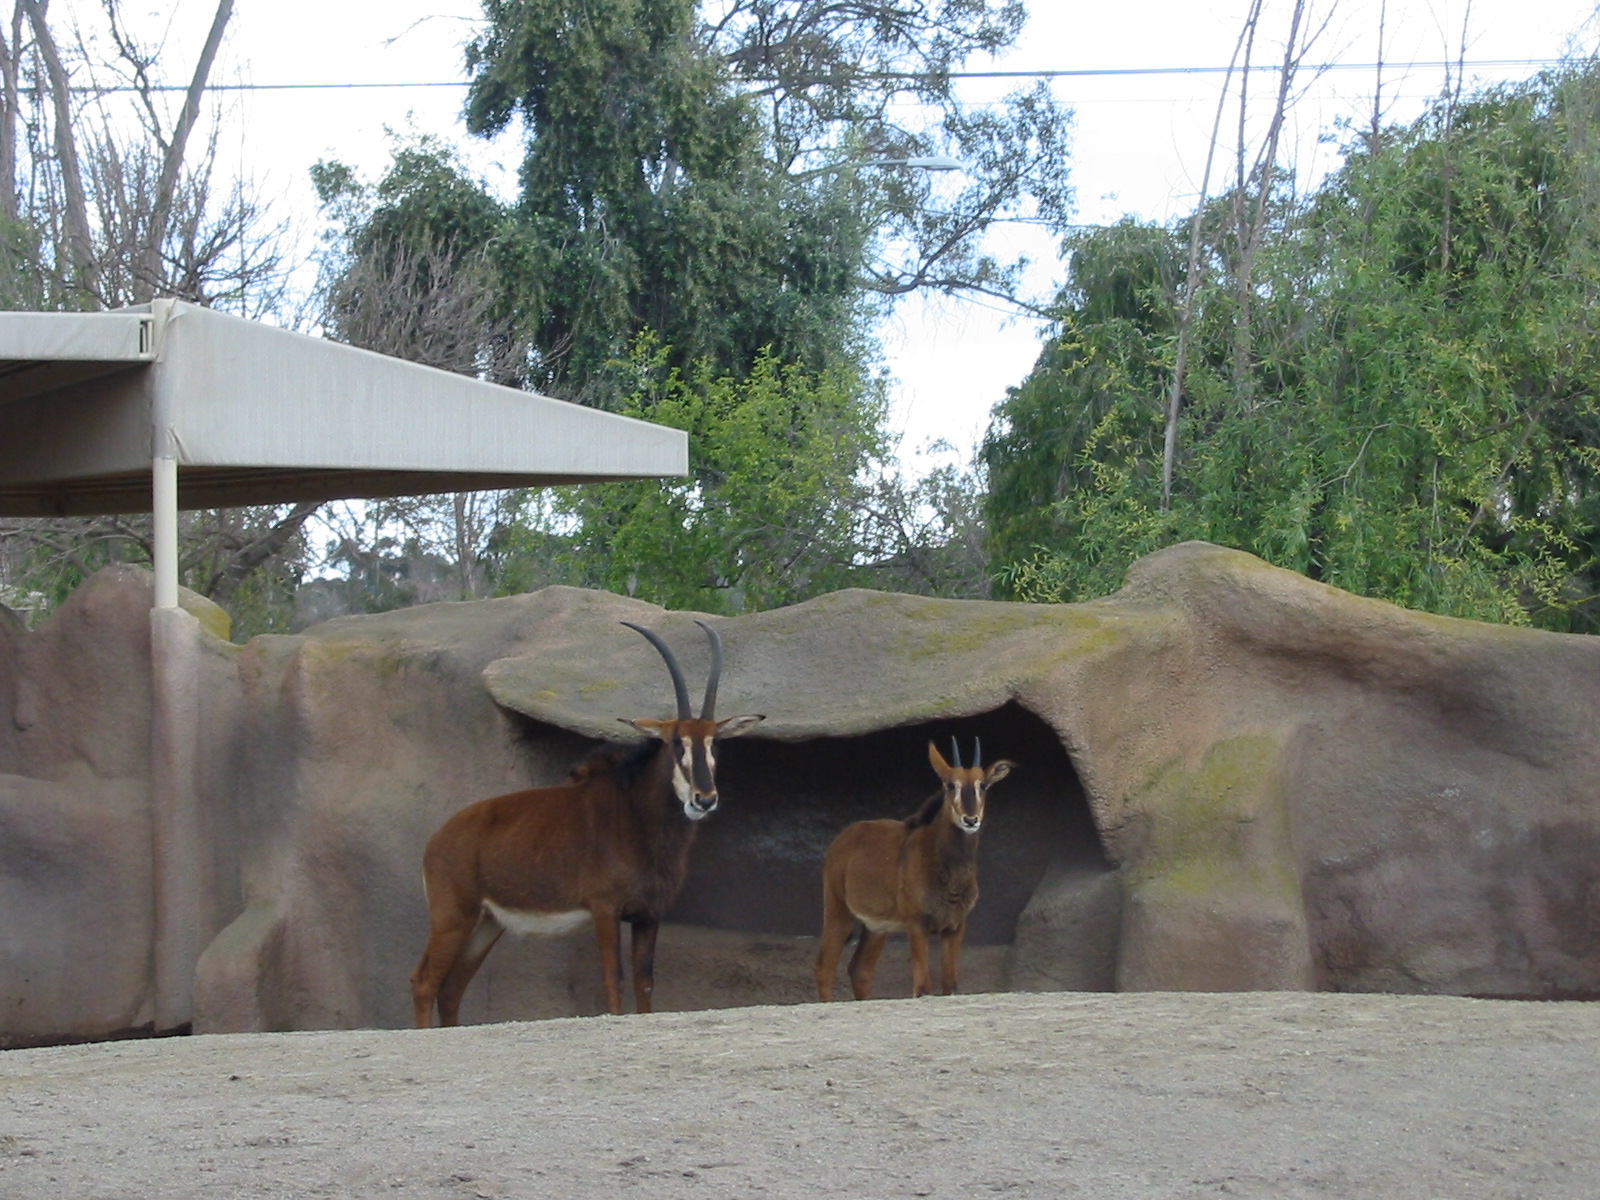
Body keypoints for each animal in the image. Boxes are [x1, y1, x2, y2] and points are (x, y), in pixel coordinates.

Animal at [410, 619, 764, 1027]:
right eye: (676, 742)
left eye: (713, 742)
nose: (703, 799)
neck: (637, 817)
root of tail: (436, 840)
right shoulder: (605, 909)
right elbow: (614, 978)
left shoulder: (649, 914)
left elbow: (645, 981)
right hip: (454, 918)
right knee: (424, 981)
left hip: (485, 924)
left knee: (451, 988)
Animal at [814, 738, 1014, 1002]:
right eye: (950, 785)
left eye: (983, 785)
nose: (971, 820)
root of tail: (841, 840)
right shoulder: (917, 924)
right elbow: (922, 987)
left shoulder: (955, 926)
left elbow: (950, 986)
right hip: (839, 911)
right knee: (824, 967)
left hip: (877, 927)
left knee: (860, 970)